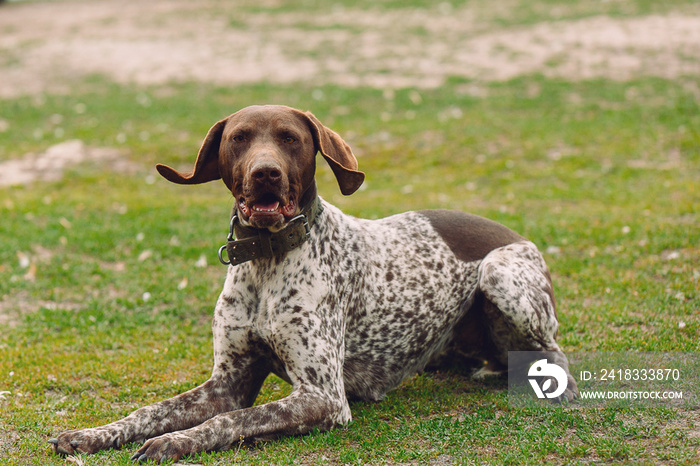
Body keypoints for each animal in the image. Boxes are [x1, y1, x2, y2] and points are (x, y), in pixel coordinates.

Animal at [50, 104, 580, 462]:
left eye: (290, 138)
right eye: (239, 138)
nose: (266, 173)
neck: (266, 261)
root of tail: (517, 234)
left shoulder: (322, 397)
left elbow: (234, 420)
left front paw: (174, 441)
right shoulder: (226, 382)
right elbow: (149, 411)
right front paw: (93, 434)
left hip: (501, 276)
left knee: (555, 356)